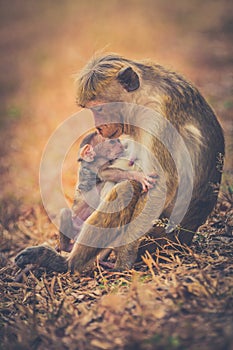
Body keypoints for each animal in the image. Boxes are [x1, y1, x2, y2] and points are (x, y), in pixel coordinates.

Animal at [15, 54, 224, 274]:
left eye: (99, 108)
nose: (98, 127)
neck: (144, 95)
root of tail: (184, 240)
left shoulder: (156, 118)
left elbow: (160, 188)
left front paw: (124, 261)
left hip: (158, 238)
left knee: (126, 190)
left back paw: (67, 263)